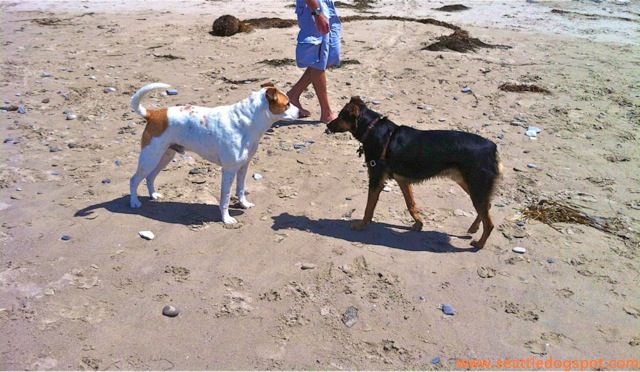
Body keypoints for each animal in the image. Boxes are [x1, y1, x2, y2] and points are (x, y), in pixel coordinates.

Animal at [131, 82, 302, 222]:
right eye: (287, 104)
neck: (247, 121)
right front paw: (226, 219)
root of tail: (153, 114)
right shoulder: (229, 170)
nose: (301, 112)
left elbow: (241, 189)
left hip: (163, 157)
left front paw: (243, 204)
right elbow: (225, 198)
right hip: (149, 159)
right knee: (134, 180)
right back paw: (134, 202)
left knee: (150, 177)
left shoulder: (243, 167)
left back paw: (153, 195)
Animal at [328, 97, 502, 248]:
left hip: (476, 187)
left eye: (340, 116)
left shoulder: (376, 179)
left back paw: (479, 244)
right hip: (469, 184)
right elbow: (410, 204)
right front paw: (418, 223)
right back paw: (474, 228)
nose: (327, 126)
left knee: (490, 223)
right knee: (487, 206)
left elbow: (368, 207)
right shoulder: (402, 180)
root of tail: (492, 147)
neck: (372, 129)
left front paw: (361, 225)